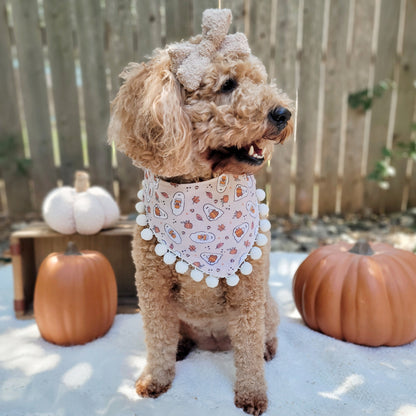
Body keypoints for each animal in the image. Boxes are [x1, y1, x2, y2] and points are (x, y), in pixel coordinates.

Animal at [109, 8, 294, 414]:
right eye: (227, 85)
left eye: (259, 81)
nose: (284, 113)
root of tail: (212, 343)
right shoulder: (153, 290)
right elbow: (157, 341)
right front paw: (156, 379)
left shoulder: (248, 294)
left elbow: (248, 350)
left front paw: (253, 394)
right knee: (177, 337)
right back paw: (182, 346)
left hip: (268, 305)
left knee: (264, 335)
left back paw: (269, 349)